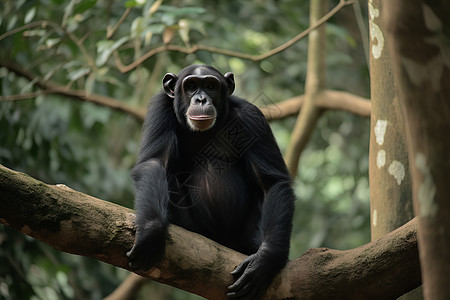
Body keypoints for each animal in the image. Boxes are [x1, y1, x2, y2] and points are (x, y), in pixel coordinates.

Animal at [126, 64, 296, 298]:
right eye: (190, 86)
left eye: (210, 86)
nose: (200, 99)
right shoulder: (159, 108)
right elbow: (155, 162)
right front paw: (152, 232)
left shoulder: (253, 118)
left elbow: (271, 182)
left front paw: (265, 261)